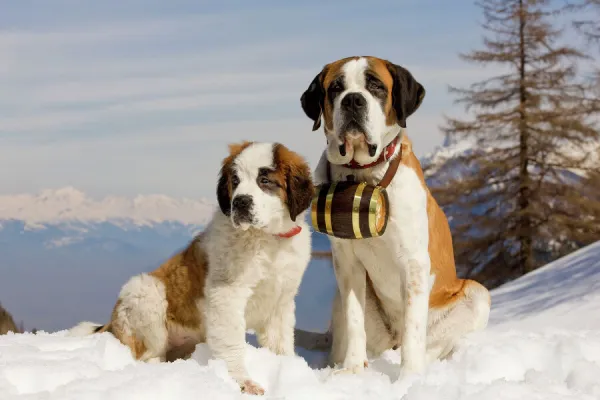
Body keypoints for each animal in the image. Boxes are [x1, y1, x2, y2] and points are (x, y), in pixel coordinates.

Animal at [69, 141, 314, 394]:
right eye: (235, 181)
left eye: (264, 180)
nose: (240, 202)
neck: (269, 239)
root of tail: (111, 323)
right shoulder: (227, 294)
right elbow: (232, 341)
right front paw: (242, 381)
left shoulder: (280, 301)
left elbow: (280, 341)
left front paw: (289, 373)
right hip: (145, 291)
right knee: (144, 355)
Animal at [300, 56, 492, 378]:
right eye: (336, 88)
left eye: (376, 86)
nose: (353, 100)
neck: (364, 175)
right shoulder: (347, 264)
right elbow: (355, 320)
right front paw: (352, 370)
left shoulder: (413, 263)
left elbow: (413, 328)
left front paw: (409, 379)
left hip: (477, 294)